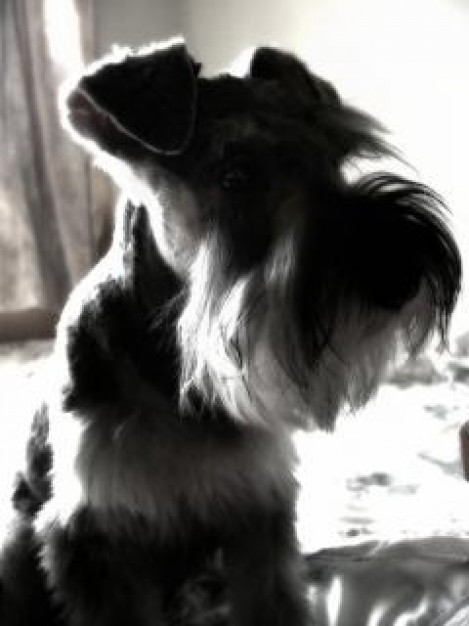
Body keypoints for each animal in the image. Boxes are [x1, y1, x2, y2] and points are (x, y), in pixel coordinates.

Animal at [0, 40, 460, 624]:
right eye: (234, 174)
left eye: (338, 154)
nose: (399, 273)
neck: (173, 368)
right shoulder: (93, 537)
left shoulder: (259, 514)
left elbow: (273, 600)